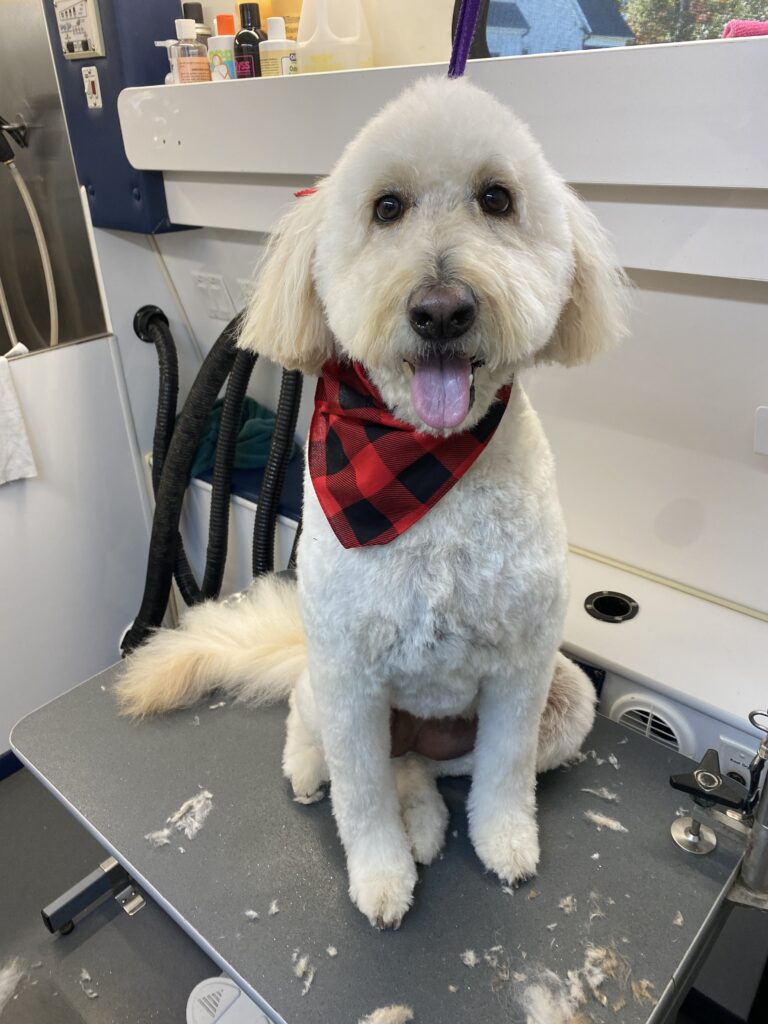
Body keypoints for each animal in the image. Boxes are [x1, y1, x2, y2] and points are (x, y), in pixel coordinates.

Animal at [117, 77, 626, 929]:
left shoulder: (521, 671)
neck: (425, 472)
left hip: (565, 697)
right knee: (329, 742)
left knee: (427, 770)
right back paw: (318, 779)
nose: (443, 308)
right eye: (387, 208)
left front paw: (505, 844)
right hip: (327, 685)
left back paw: (427, 817)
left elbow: (504, 776)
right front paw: (383, 878)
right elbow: (360, 802)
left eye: (497, 198)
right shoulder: (352, 678)